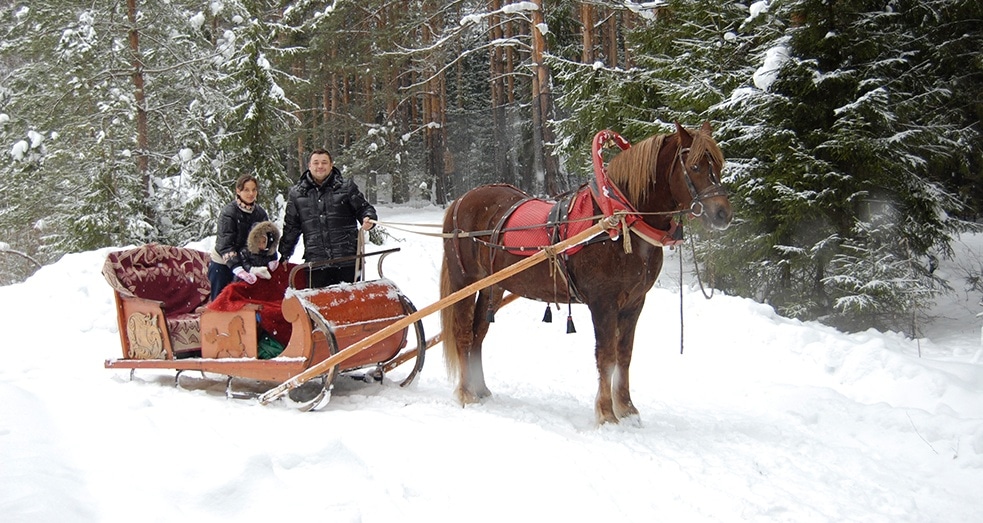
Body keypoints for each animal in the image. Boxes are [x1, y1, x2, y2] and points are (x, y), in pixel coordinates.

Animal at [442, 123, 736, 426]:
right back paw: (466, 393)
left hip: (493, 286)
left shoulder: (634, 303)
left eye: (719, 164)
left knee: (479, 333)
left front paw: (627, 408)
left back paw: (480, 388)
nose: (722, 214)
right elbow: (605, 356)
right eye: (695, 166)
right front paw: (606, 413)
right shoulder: (603, 302)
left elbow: (624, 354)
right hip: (464, 282)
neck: (618, 221)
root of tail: (461, 200)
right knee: (463, 332)